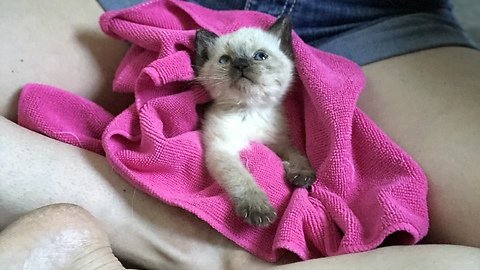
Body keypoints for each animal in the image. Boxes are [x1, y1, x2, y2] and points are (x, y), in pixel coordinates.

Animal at [195, 16, 316, 227]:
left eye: (260, 56)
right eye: (225, 60)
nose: (241, 64)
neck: (251, 110)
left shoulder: (280, 143)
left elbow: (298, 155)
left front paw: (302, 175)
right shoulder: (222, 149)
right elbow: (242, 178)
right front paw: (258, 209)